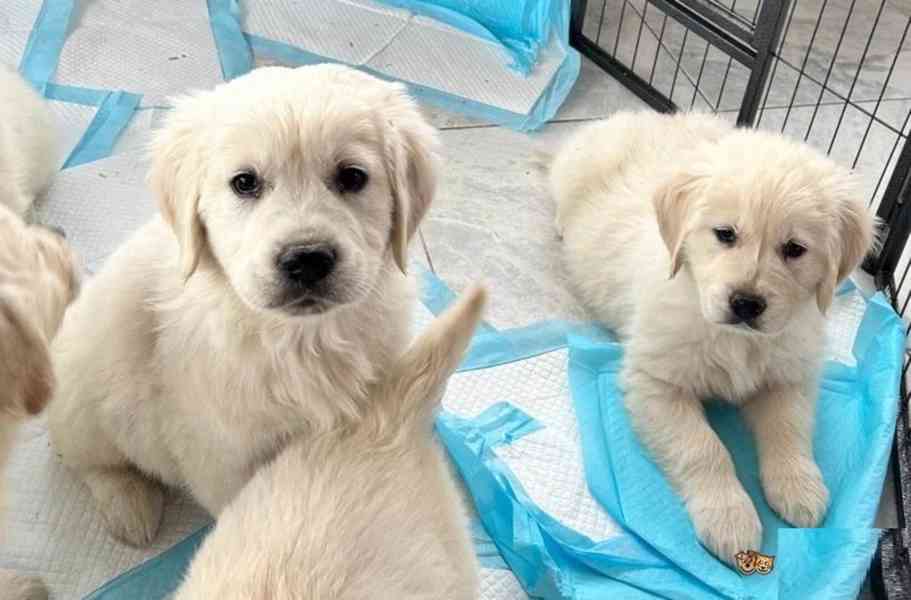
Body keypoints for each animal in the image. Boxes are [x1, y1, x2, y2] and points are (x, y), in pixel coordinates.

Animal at [48, 64, 440, 547]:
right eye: (245, 183)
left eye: (352, 177)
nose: (306, 259)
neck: (301, 340)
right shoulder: (221, 452)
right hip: (84, 395)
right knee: (86, 458)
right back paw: (129, 505)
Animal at [546, 111, 875, 565]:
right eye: (725, 234)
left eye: (794, 248)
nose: (746, 303)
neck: (736, 339)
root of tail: (642, 115)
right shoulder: (655, 382)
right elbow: (703, 447)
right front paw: (729, 518)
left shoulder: (789, 376)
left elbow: (789, 428)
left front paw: (799, 485)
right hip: (575, 170)